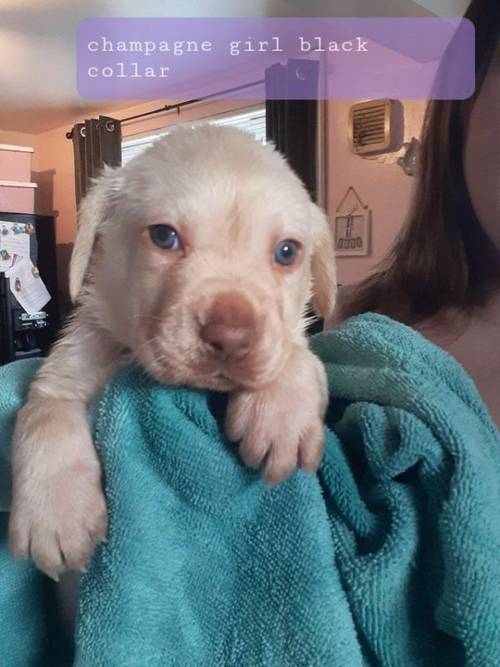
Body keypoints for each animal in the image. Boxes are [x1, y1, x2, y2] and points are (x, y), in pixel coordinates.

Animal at [6, 125, 336, 580]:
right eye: (164, 236)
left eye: (287, 252)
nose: (231, 336)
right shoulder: (63, 373)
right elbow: (44, 416)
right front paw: (56, 515)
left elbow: (299, 356)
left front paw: (279, 413)